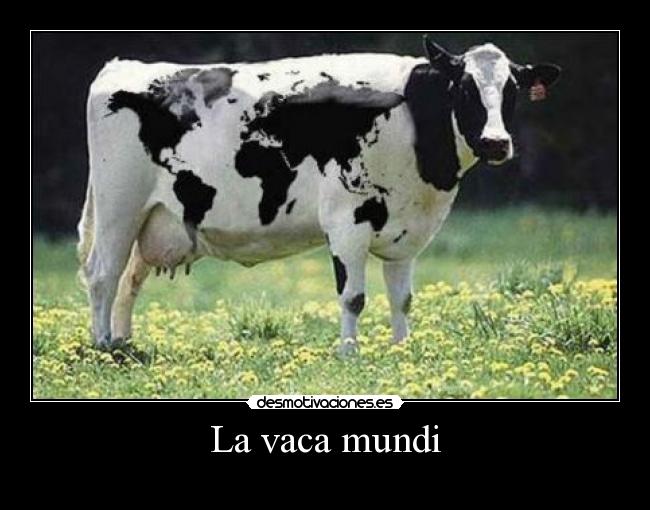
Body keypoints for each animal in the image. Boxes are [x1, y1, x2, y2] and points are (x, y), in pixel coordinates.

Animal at [77, 36, 560, 353]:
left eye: (512, 91)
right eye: (463, 88)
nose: (496, 143)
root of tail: (123, 66)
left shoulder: (406, 231)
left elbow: (402, 298)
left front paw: (402, 351)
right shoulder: (348, 219)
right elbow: (353, 296)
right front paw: (349, 353)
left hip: (154, 218)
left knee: (129, 279)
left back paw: (123, 344)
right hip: (119, 207)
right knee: (103, 274)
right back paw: (102, 346)